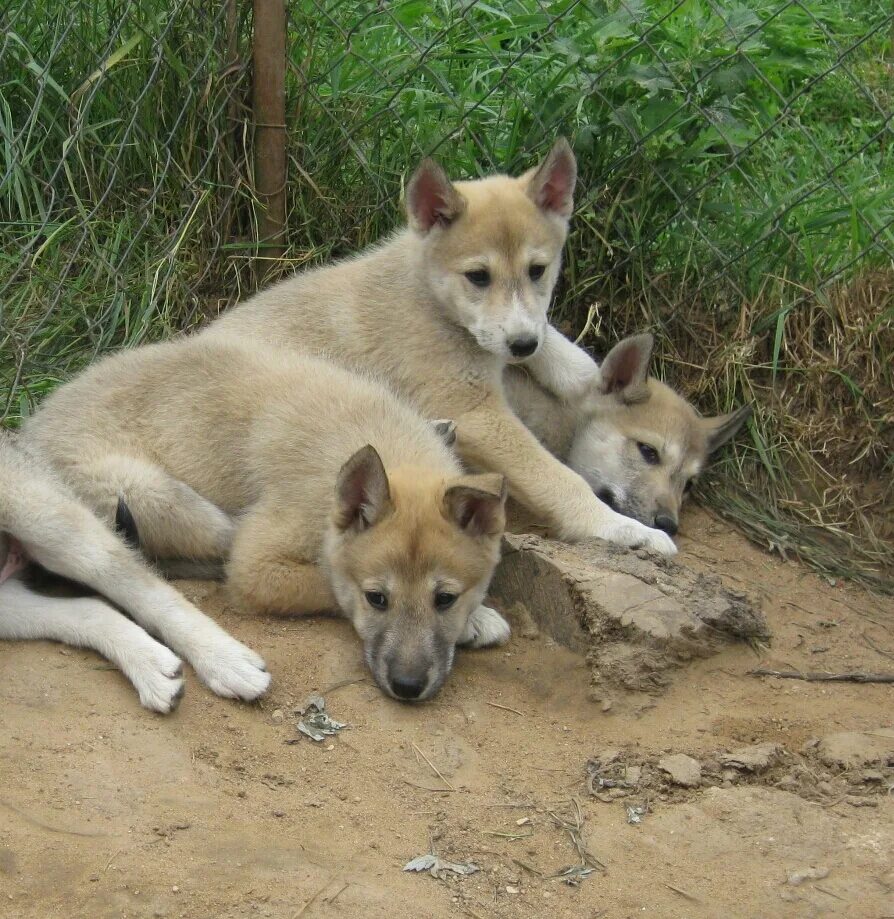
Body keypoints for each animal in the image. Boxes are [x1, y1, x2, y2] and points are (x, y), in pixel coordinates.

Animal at [21, 338, 508, 704]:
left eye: (444, 599)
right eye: (377, 599)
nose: (407, 689)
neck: (376, 438)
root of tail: (31, 433)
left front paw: (476, 615)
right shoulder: (258, 566)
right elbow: (328, 585)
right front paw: (475, 623)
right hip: (179, 505)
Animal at [201, 140, 680, 556]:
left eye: (538, 270)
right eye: (478, 277)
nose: (521, 345)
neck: (427, 295)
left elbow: (552, 338)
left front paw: (585, 372)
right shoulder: (477, 414)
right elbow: (557, 476)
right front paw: (621, 527)